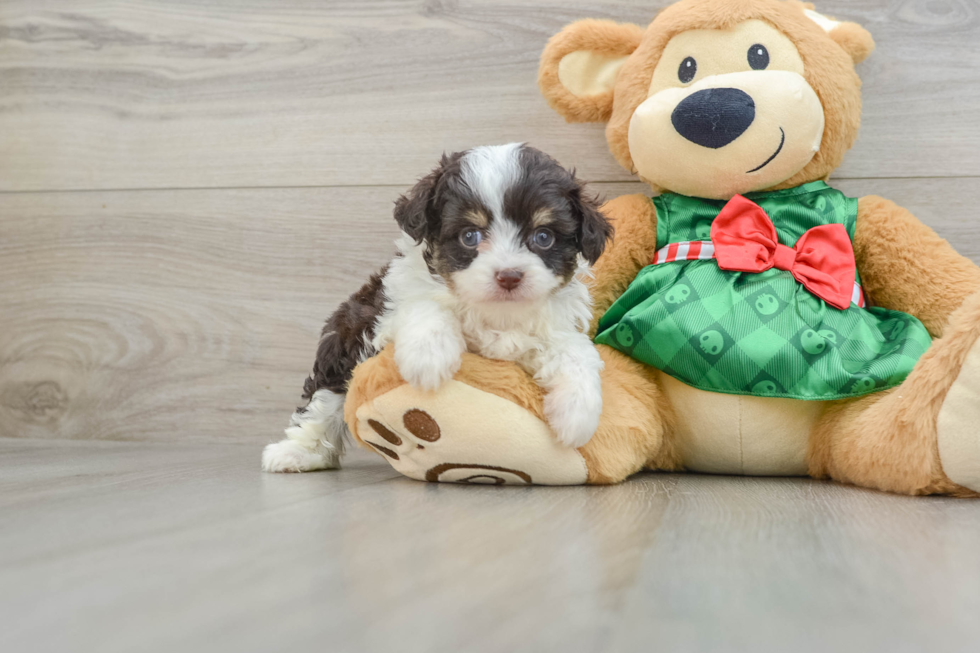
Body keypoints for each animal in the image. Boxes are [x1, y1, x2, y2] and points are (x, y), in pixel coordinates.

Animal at [260, 143, 612, 472]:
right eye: (470, 235)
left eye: (543, 237)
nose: (509, 276)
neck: (495, 314)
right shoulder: (383, 313)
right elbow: (425, 304)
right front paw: (428, 358)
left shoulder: (551, 328)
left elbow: (575, 351)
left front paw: (577, 415)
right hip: (346, 339)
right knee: (324, 400)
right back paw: (296, 452)